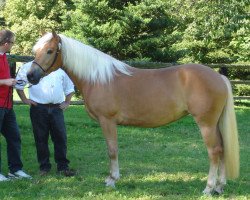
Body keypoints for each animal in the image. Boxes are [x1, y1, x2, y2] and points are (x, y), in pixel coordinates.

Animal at [26, 31, 239, 195]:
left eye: (50, 51)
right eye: (36, 51)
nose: (30, 76)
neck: (98, 78)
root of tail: (218, 76)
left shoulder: (107, 121)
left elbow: (112, 150)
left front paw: (112, 180)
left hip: (206, 124)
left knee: (214, 151)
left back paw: (209, 188)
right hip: (215, 124)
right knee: (222, 149)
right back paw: (220, 186)